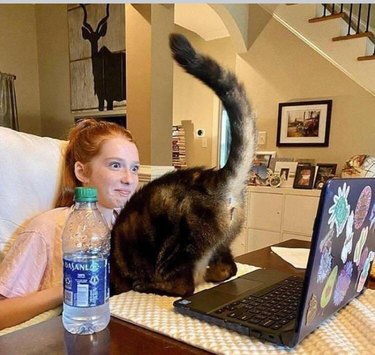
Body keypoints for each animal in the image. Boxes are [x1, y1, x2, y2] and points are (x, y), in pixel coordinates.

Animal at [110, 33, 258, 298]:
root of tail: (218, 179)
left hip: (178, 246)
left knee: (185, 286)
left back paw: (149, 285)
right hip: (222, 244)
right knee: (228, 269)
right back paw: (210, 275)